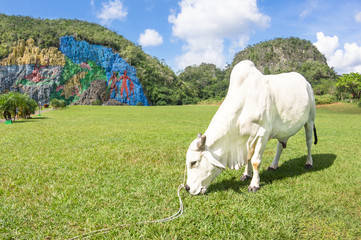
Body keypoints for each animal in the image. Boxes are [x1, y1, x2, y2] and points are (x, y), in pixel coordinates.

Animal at [184, 60, 316, 195]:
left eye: (193, 162)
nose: (187, 188)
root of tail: (306, 82)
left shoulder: (262, 134)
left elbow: (255, 161)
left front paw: (254, 184)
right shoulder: (247, 139)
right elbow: (248, 157)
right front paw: (247, 174)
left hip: (310, 120)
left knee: (309, 142)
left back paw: (308, 163)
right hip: (283, 130)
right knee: (280, 146)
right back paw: (273, 165)